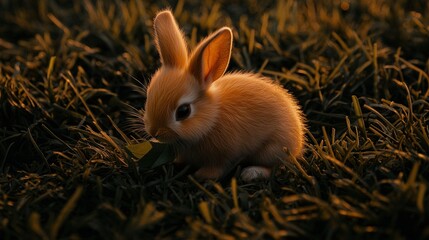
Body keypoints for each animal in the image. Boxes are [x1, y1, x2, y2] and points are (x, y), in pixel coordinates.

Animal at [144, 9, 304, 182]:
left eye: (183, 111)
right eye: (148, 96)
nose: (154, 132)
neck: (212, 119)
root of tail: (298, 139)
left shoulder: (225, 155)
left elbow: (219, 167)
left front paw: (202, 176)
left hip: (272, 149)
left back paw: (251, 173)